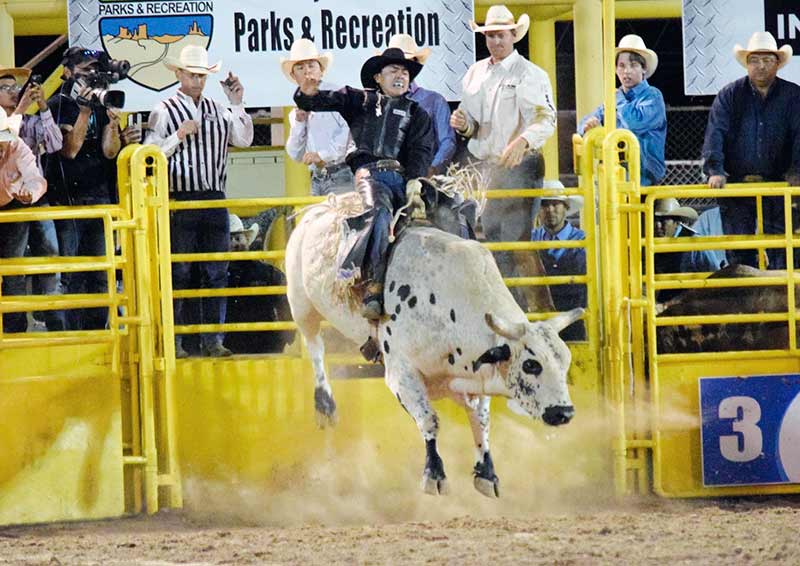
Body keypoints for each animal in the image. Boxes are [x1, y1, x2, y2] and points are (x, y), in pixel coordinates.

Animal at [286, 191, 581, 497]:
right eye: (531, 364)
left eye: (565, 362)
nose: (564, 412)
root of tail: (319, 207)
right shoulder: (401, 373)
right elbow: (429, 419)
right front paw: (434, 473)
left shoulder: (472, 375)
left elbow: (481, 420)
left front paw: (486, 473)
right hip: (300, 301)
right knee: (315, 345)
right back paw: (325, 404)